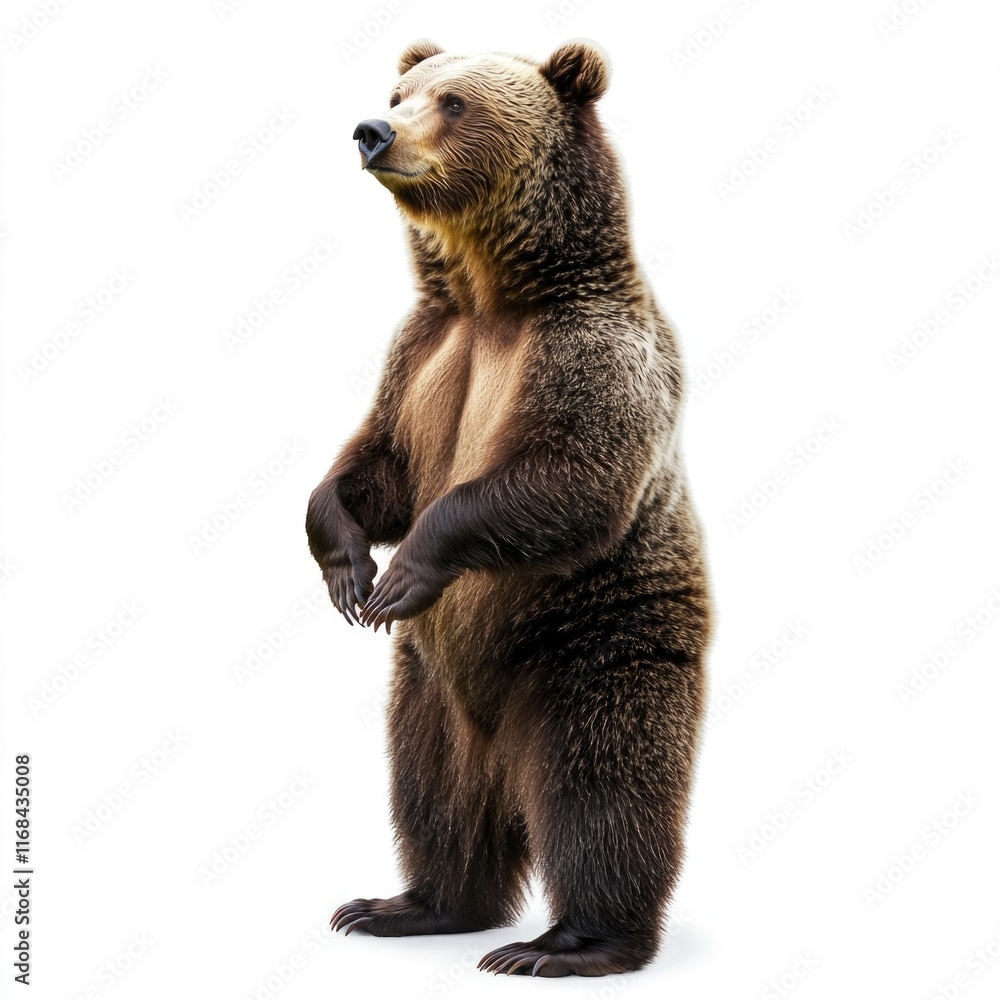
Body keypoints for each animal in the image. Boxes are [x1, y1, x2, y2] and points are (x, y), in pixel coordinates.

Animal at [305, 39, 712, 977]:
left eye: (454, 101)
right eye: (399, 91)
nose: (371, 130)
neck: (494, 293)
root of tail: (499, 742)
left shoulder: (590, 352)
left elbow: (566, 476)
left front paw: (402, 571)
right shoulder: (423, 351)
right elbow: (374, 466)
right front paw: (348, 569)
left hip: (588, 646)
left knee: (602, 788)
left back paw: (566, 943)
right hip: (428, 689)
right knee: (431, 793)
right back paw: (406, 904)